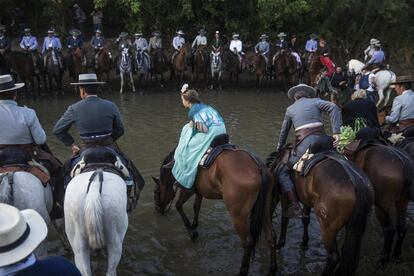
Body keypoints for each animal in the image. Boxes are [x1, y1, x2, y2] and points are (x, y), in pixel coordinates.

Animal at [268, 147, 376, 276]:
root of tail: (356, 180)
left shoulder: (284, 197)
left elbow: (285, 219)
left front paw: (280, 244)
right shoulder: (307, 201)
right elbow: (305, 220)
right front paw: (304, 243)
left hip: (328, 228)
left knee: (334, 257)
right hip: (353, 225)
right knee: (347, 252)